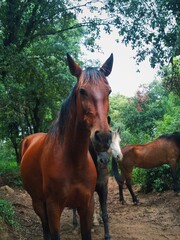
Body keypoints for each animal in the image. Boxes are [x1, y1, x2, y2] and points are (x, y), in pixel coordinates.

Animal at [20, 53, 113, 240]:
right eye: (82, 91)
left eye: (109, 91)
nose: (103, 137)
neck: (73, 161)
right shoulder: (54, 208)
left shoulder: (87, 205)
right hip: (38, 203)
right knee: (45, 228)